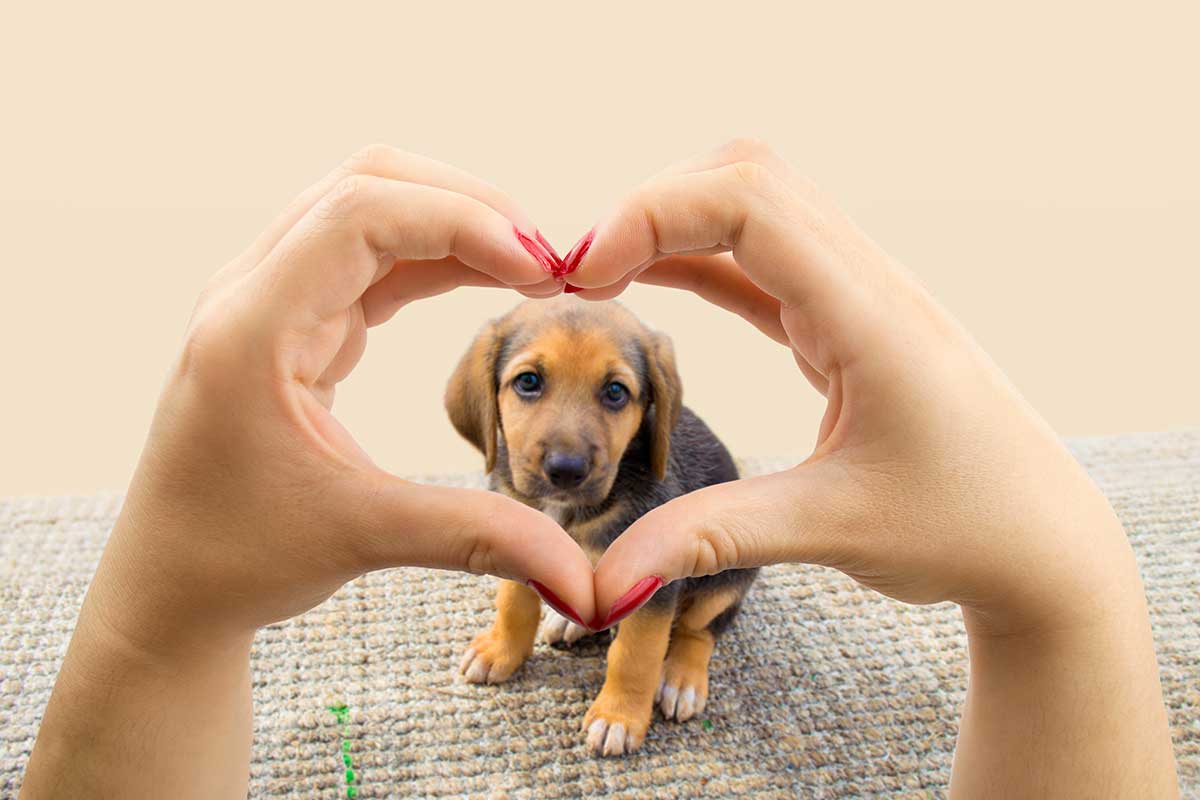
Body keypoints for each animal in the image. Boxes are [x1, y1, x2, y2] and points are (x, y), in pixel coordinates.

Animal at [446, 297, 753, 753]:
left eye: (615, 392)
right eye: (528, 381)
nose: (566, 470)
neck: (568, 512)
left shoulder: (653, 584)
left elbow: (635, 655)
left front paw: (618, 717)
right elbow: (514, 604)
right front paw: (501, 651)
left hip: (725, 581)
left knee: (699, 630)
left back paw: (681, 679)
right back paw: (568, 620)